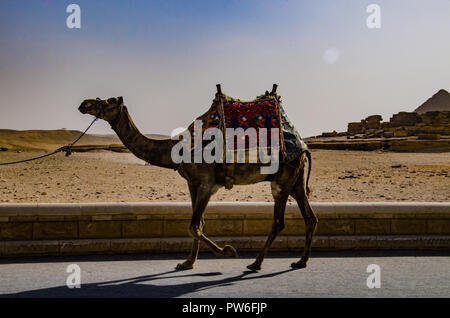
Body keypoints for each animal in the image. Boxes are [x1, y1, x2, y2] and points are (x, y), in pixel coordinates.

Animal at [78, 87, 316, 270]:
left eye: (108, 101)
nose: (84, 103)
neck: (177, 149)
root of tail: (303, 147)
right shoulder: (192, 183)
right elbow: (197, 223)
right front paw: (187, 262)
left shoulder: (207, 183)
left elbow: (194, 225)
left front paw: (228, 251)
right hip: (296, 180)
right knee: (310, 218)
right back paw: (300, 261)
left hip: (283, 178)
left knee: (278, 222)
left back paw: (256, 263)